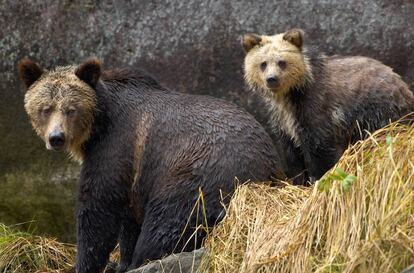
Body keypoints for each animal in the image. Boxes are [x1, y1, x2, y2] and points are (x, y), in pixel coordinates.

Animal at [18, 58, 284, 272]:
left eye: (71, 109)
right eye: (45, 108)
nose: (57, 138)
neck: (98, 124)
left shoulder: (116, 146)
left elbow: (98, 208)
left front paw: (87, 263)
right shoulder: (134, 172)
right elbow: (127, 219)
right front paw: (120, 262)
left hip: (198, 176)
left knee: (165, 226)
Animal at [241, 28, 414, 181]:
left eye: (281, 62)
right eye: (263, 63)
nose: (272, 79)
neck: (290, 95)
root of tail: (403, 86)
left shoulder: (315, 108)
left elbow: (320, 148)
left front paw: (318, 177)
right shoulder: (282, 119)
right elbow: (292, 153)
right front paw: (298, 180)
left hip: (378, 111)